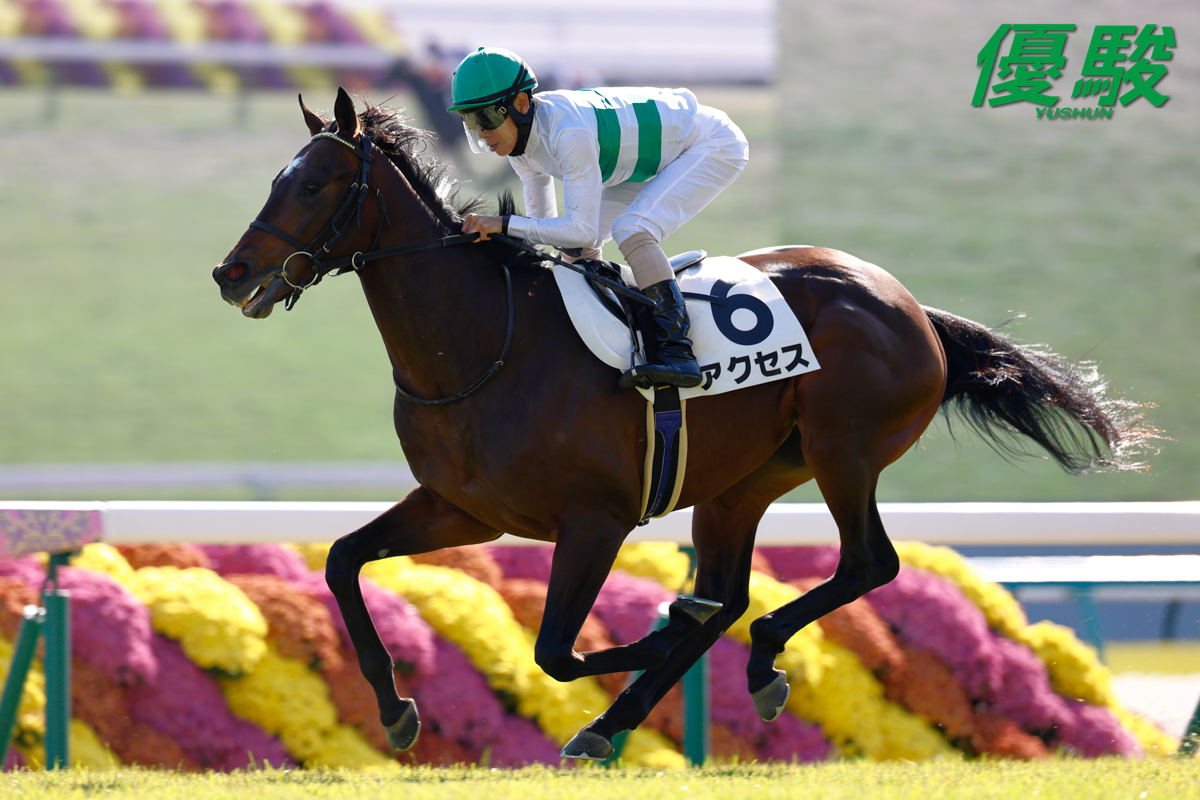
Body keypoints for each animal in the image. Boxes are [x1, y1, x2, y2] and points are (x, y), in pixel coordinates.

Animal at [212, 88, 1155, 760]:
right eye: (277, 179)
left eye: (315, 183)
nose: (232, 273)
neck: (484, 347)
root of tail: (911, 306)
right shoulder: (465, 507)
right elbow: (342, 562)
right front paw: (397, 710)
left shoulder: (594, 521)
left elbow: (559, 652)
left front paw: (657, 631)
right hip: (748, 479)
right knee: (733, 593)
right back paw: (647, 704)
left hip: (843, 450)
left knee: (863, 565)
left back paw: (744, 660)